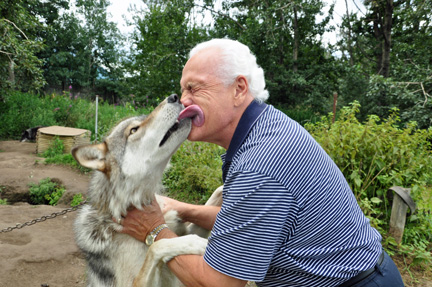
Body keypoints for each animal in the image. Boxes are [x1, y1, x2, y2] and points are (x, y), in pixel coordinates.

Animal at [72, 95, 219, 286]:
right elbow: (157, 245)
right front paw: (196, 243)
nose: (174, 97)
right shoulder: (135, 282)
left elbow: (217, 191)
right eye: (133, 130)